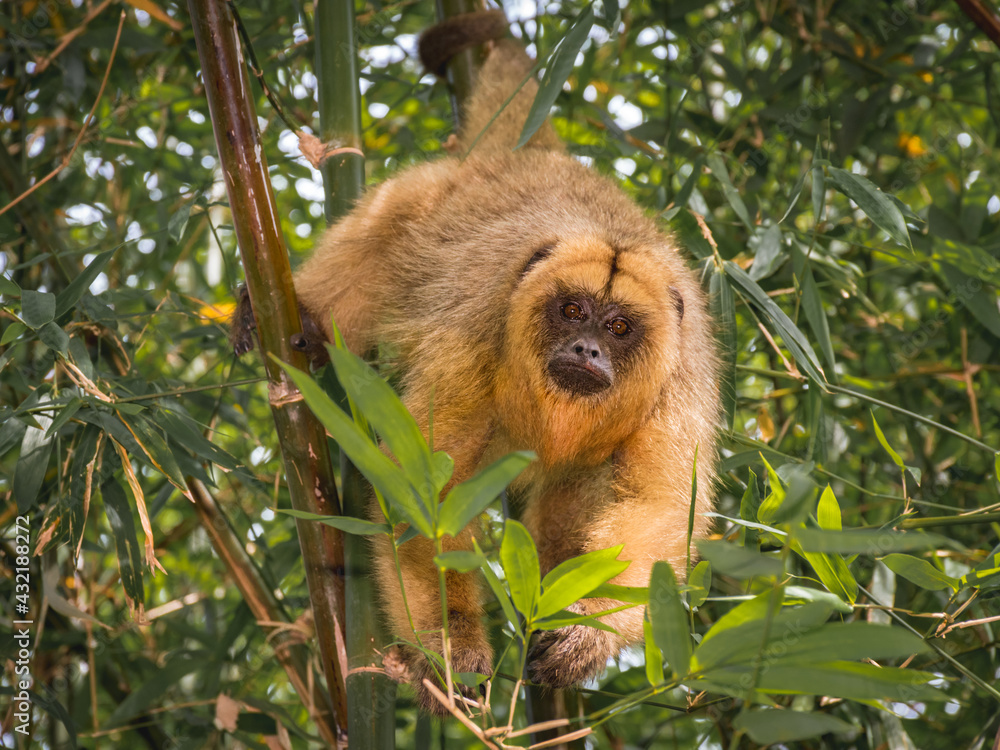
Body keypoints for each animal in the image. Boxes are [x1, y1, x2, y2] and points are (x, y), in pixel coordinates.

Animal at [231, 11, 719, 714]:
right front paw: (455, 648)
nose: (587, 350)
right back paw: (304, 318)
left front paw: (585, 633)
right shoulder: (471, 346)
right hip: (435, 193)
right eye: (572, 310)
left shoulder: (677, 389)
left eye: (620, 327)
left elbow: (654, 511)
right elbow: (425, 495)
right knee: (390, 226)